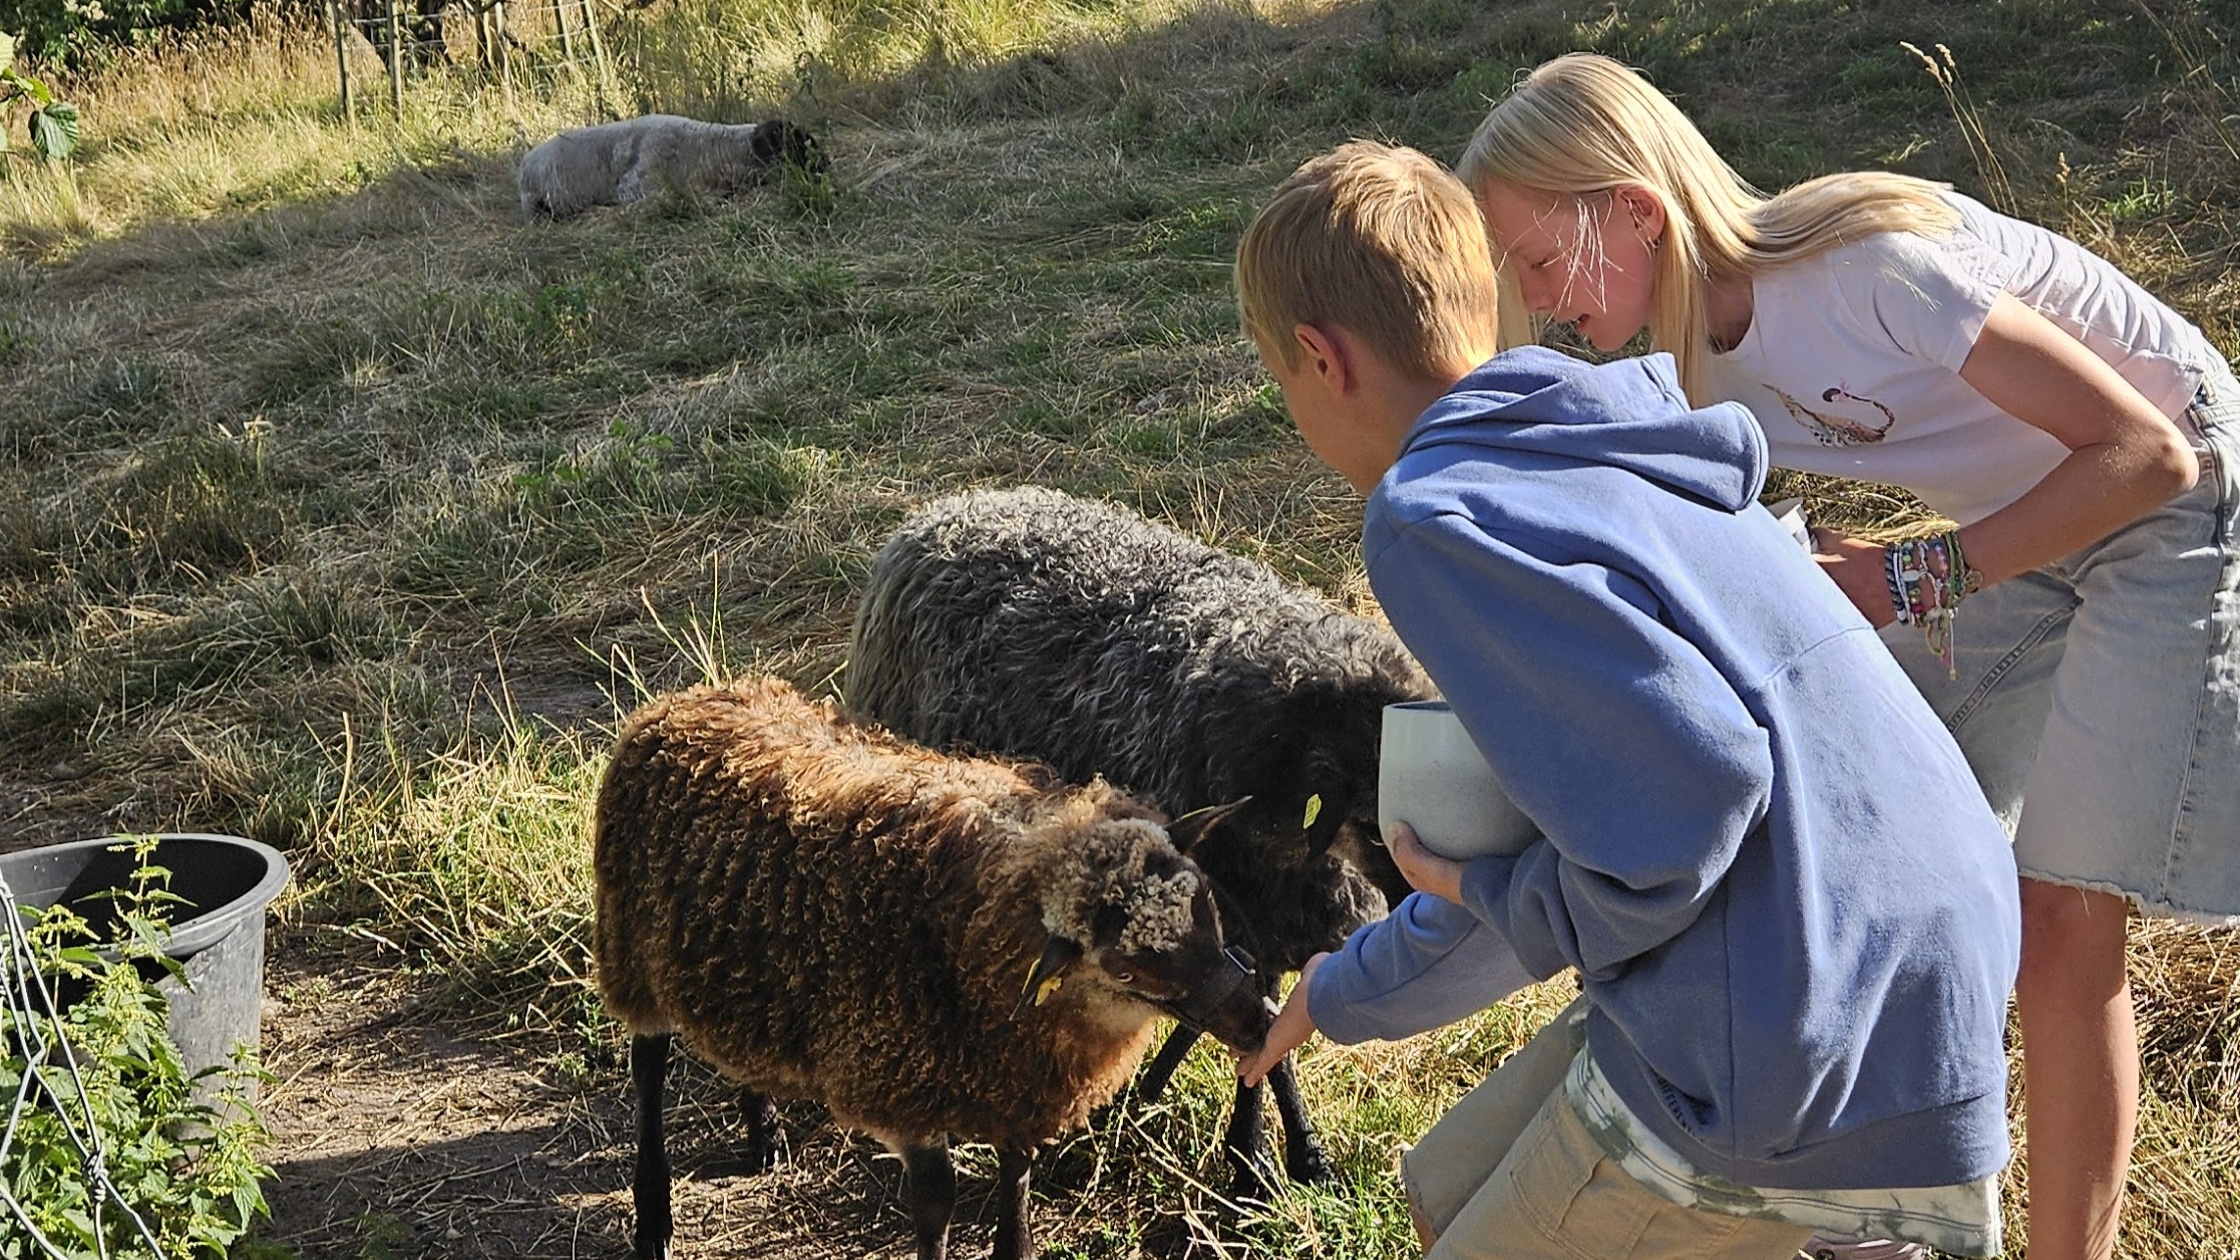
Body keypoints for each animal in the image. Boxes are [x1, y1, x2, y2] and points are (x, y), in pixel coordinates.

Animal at [593, 675, 1272, 1260]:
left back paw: (766, 1136)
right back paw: (653, 1218)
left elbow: (1017, 1173)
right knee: (647, 1066)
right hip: (631, 949)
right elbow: (935, 1203)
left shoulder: (1019, 1081)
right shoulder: (901, 1083)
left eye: (1207, 906)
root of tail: (679, 703)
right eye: (1127, 970)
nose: (1259, 1021)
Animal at [845, 485, 1435, 1199]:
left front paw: (1284, 1153)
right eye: (1375, 815)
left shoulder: (1254, 929)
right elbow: (1262, 1037)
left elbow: (1270, 1025)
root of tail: (948, 510)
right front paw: (1257, 1162)